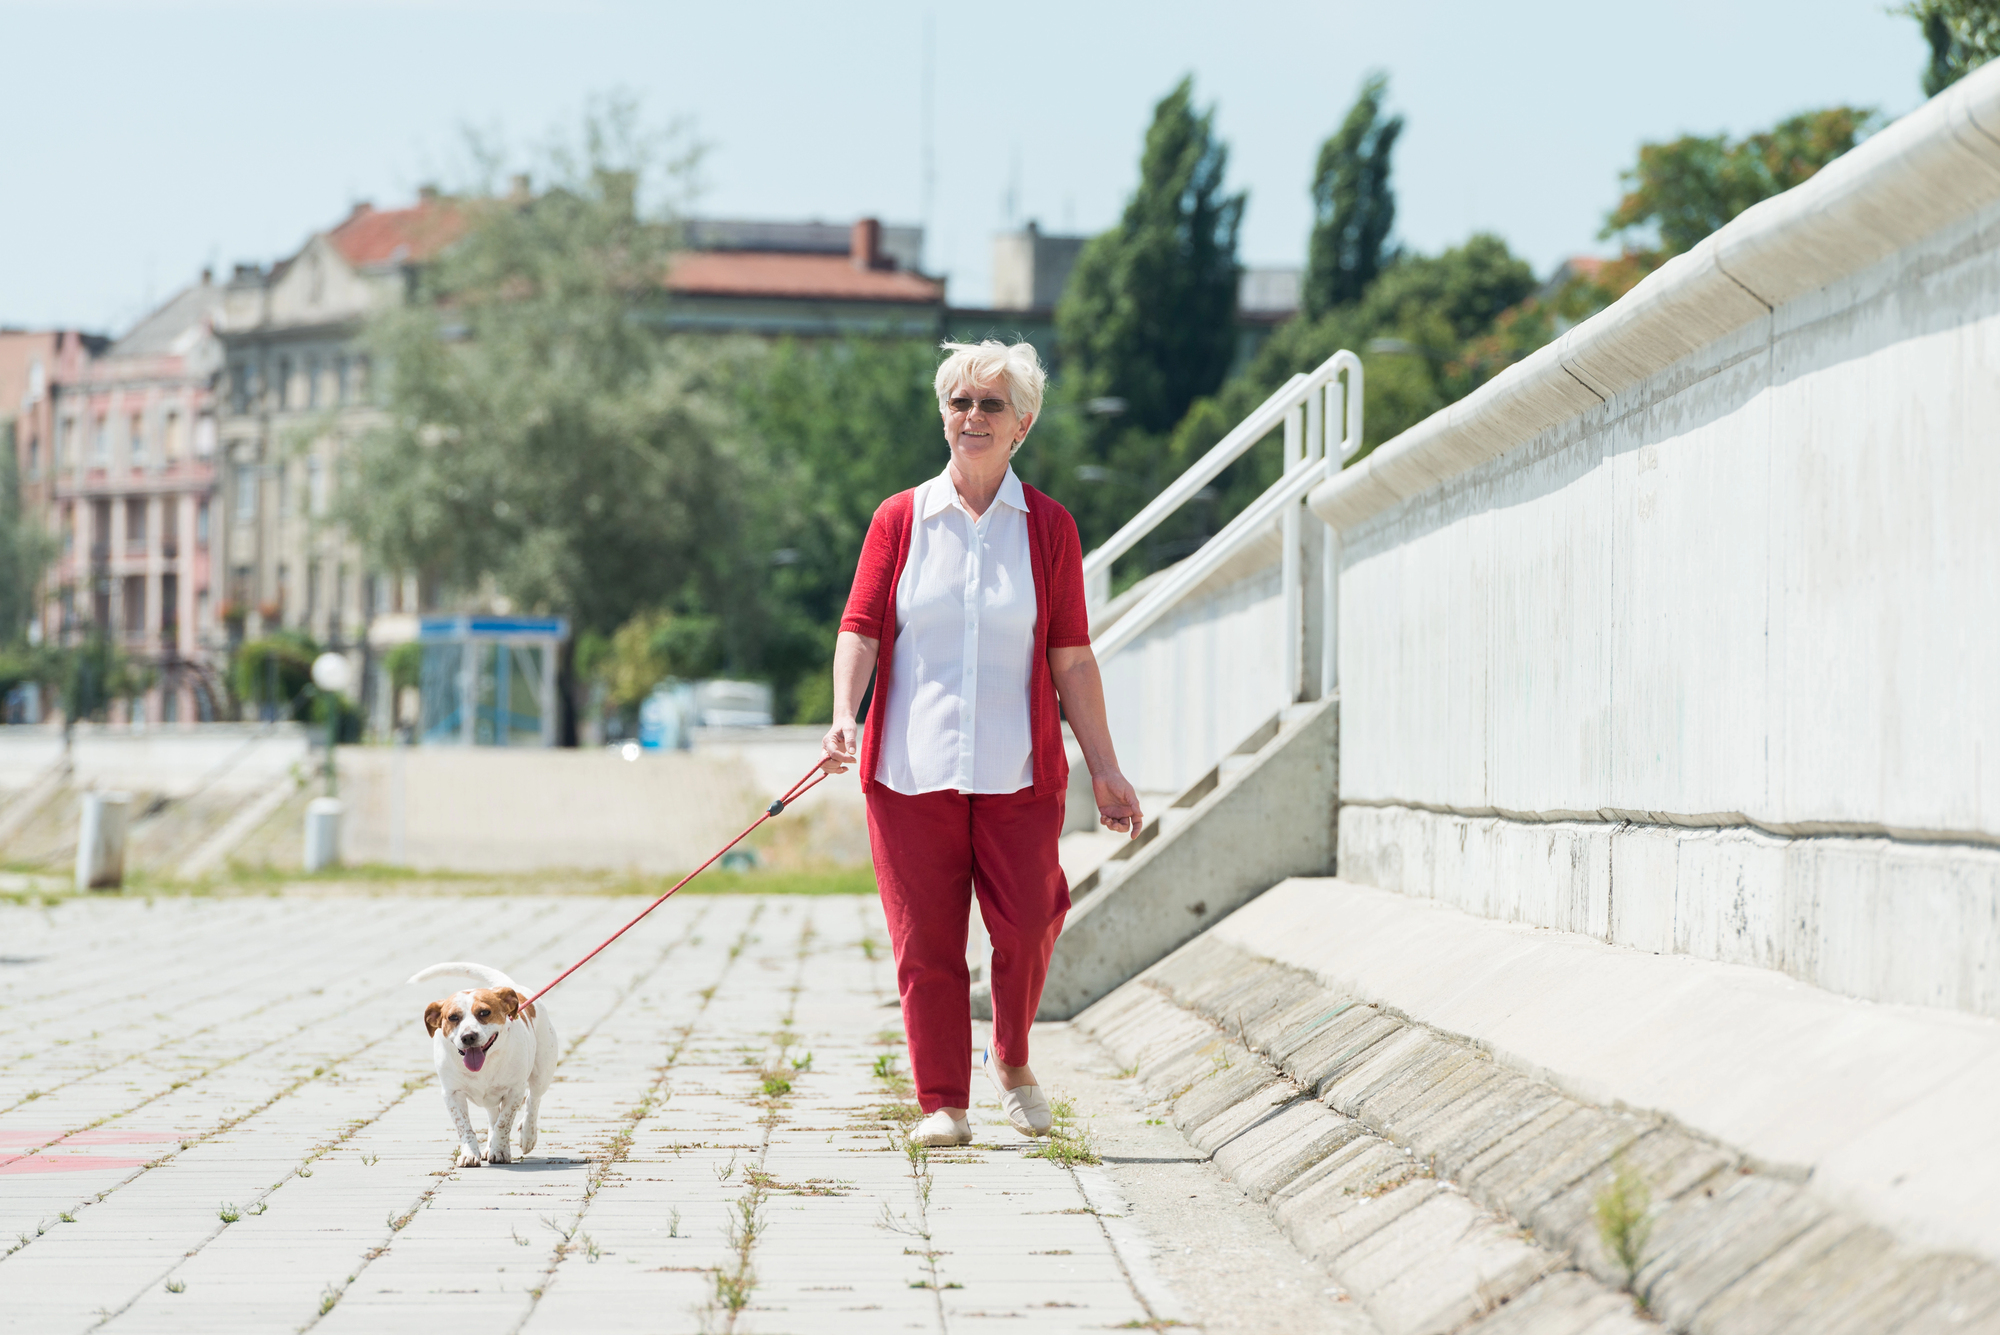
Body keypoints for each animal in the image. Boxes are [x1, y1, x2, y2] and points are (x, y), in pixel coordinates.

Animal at [412, 959, 560, 1167]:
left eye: (484, 1012)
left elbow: (504, 1123)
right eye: (453, 1017)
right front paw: (470, 1153)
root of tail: (509, 986)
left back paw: (527, 1136)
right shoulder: (451, 1094)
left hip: (542, 1073)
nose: (468, 1036)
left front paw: (499, 1151)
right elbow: (465, 1127)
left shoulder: (514, 1091)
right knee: (493, 1115)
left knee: (533, 1100)